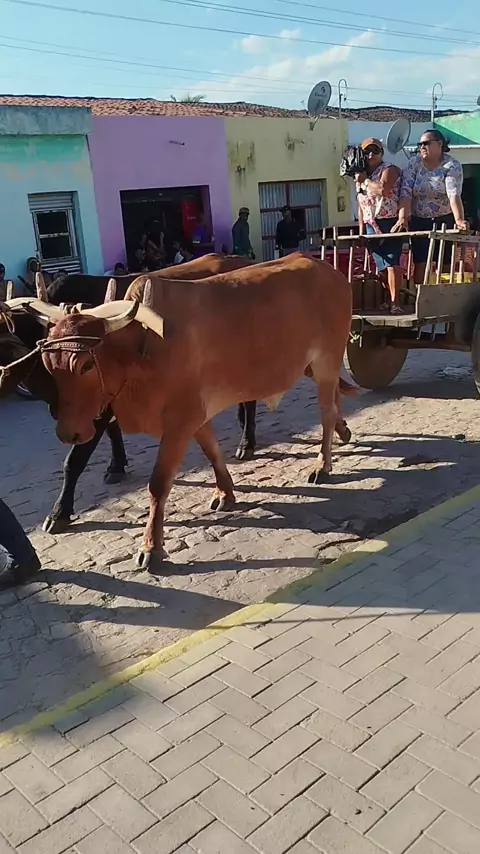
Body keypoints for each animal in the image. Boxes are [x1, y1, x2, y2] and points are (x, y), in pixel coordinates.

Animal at [12, 252, 353, 573]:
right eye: (48, 363)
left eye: (84, 365)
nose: (66, 431)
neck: (142, 348)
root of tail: (329, 270)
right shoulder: (193, 416)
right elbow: (212, 451)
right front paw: (225, 492)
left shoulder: (179, 421)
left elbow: (158, 484)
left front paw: (151, 547)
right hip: (315, 364)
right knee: (336, 398)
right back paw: (344, 431)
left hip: (327, 357)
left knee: (326, 410)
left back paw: (322, 464)